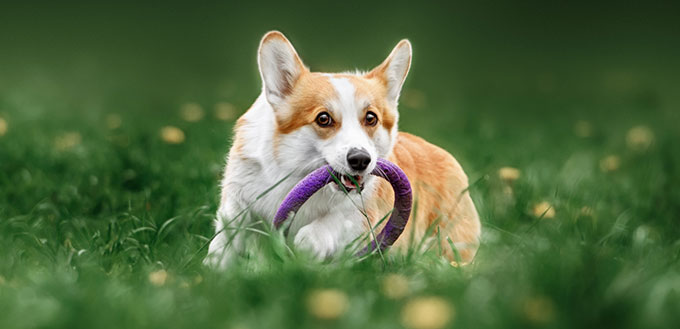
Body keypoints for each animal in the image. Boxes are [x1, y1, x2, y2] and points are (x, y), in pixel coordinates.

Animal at [205, 30, 480, 266]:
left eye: (371, 118)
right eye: (323, 119)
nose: (360, 160)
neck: (295, 173)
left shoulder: (360, 215)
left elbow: (322, 228)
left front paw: (304, 247)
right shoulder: (238, 202)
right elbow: (226, 241)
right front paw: (214, 269)